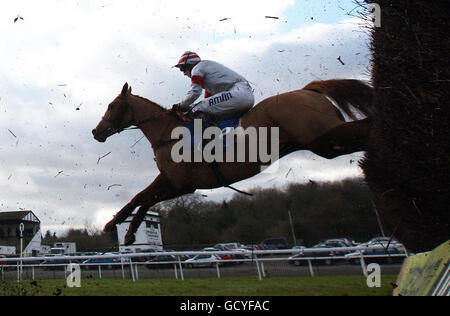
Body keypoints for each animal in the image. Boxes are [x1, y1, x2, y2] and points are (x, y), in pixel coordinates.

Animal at [90, 79, 372, 244]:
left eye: (112, 105)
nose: (96, 131)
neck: (169, 133)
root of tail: (306, 90)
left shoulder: (183, 184)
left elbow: (145, 198)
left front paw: (118, 226)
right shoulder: (170, 178)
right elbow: (142, 197)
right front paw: (124, 229)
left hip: (323, 138)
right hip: (323, 143)